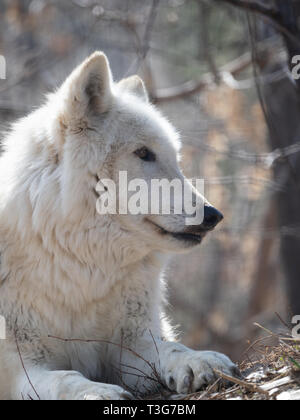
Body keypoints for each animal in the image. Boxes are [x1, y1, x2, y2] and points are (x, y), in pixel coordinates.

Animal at [0, 52, 239, 400]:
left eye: (175, 159)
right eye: (143, 153)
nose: (213, 215)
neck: (78, 265)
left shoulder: (134, 341)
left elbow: (172, 348)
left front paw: (200, 360)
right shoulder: (19, 367)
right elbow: (65, 377)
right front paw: (96, 391)